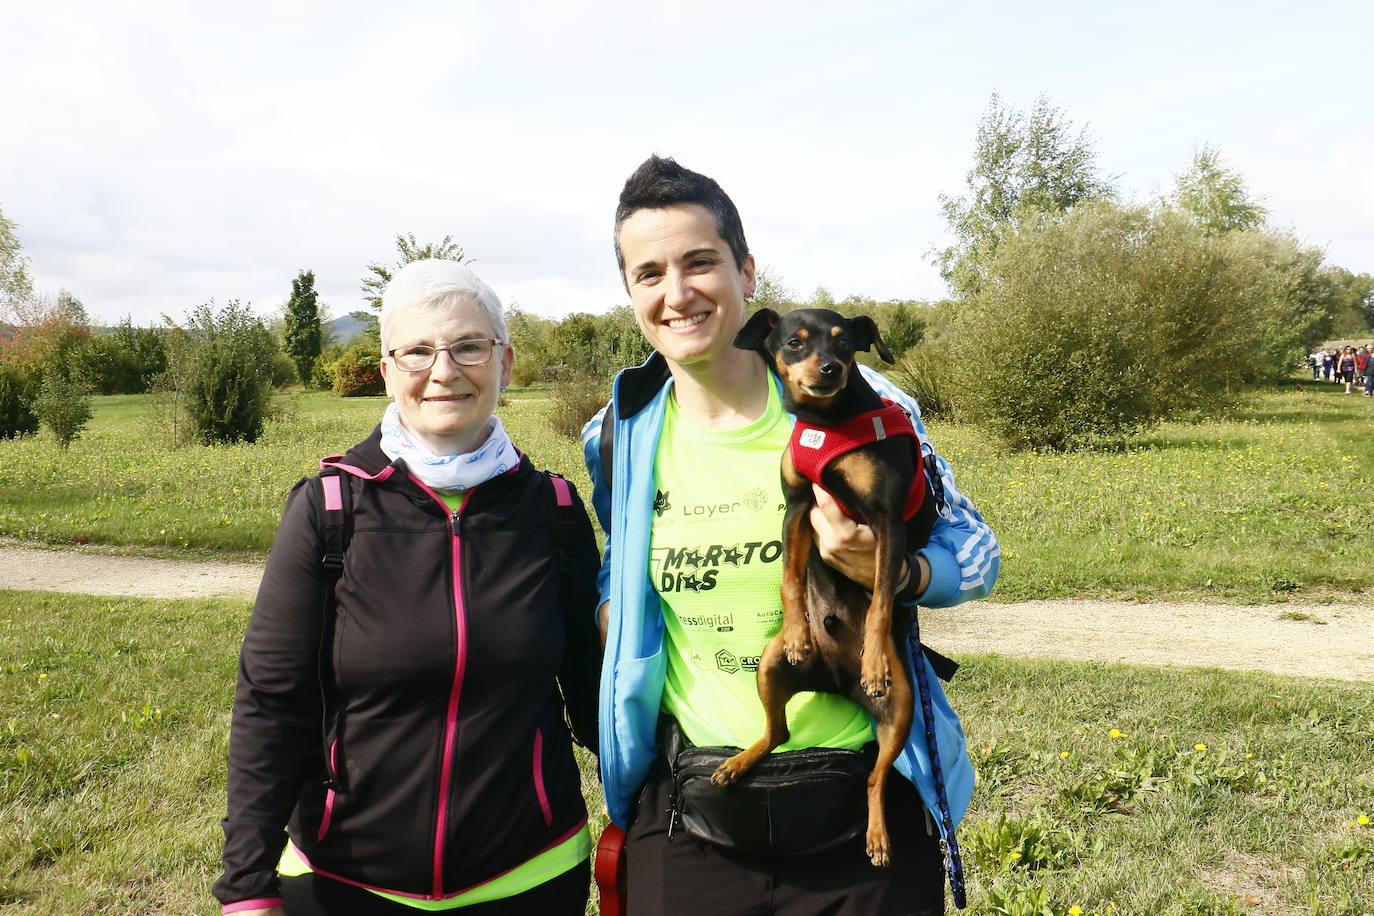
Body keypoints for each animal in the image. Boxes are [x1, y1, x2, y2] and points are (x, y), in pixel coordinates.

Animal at [714, 306, 939, 867]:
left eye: (843, 343)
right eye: (794, 342)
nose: (829, 369)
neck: (828, 426)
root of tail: (836, 681)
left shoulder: (885, 524)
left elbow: (880, 603)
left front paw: (875, 657)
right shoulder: (797, 507)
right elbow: (791, 580)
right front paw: (798, 630)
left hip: (902, 709)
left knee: (876, 780)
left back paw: (878, 837)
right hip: (770, 668)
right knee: (778, 731)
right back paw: (740, 762)